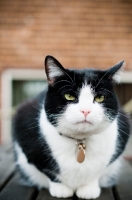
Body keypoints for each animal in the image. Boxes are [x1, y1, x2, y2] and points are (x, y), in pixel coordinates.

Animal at [12, 55, 130, 199]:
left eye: (100, 97)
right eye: (69, 96)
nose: (85, 110)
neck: (80, 141)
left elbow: (98, 171)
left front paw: (88, 188)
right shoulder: (24, 128)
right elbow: (49, 171)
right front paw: (61, 188)